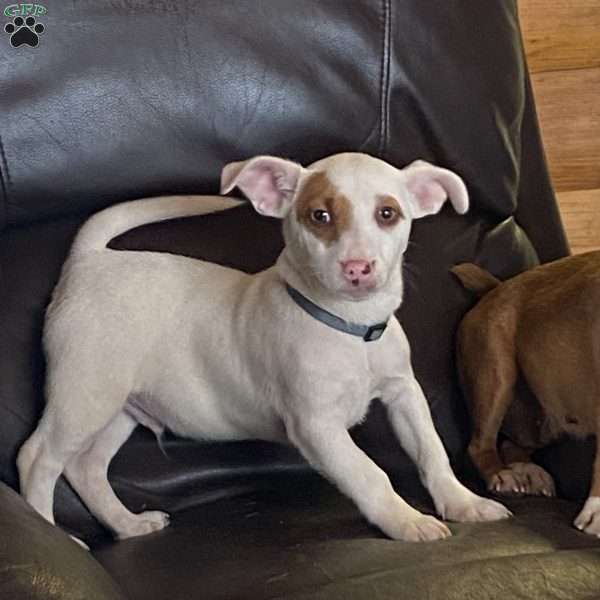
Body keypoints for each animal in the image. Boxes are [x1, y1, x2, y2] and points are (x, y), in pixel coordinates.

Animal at [16, 152, 508, 540]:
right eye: (319, 216)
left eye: (388, 214)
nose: (357, 268)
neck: (347, 328)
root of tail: (89, 259)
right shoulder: (316, 426)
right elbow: (370, 474)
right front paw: (406, 521)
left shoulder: (403, 393)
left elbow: (431, 450)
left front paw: (462, 503)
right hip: (85, 393)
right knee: (37, 459)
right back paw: (56, 535)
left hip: (120, 406)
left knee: (85, 468)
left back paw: (127, 524)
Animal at [452, 251, 600, 536]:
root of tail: (495, 287)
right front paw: (596, 513)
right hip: (496, 375)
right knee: (480, 445)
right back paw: (503, 474)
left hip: (546, 417)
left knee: (513, 443)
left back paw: (529, 471)